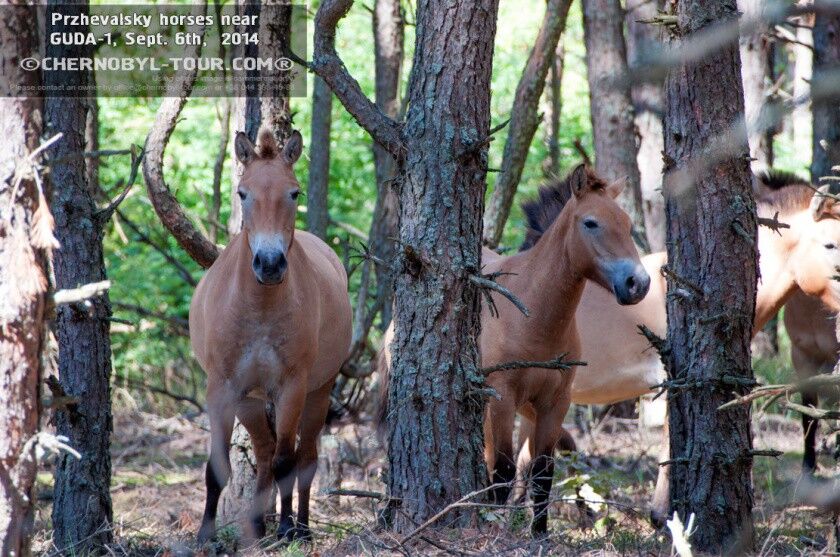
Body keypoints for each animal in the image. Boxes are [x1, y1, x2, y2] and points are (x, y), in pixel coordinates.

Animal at [190, 128, 352, 540]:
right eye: (242, 193)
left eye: (293, 192)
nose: (269, 264)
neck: (259, 307)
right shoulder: (222, 389)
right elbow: (218, 469)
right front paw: (205, 535)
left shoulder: (292, 386)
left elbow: (286, 462)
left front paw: (288, 529)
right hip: (250, 401)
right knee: (263, 454)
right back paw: (257, 526)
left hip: (317, 392)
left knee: (303, 457)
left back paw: (301, 526)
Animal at [378, 164, 652, 536]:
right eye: (591, 223)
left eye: (626, 222)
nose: (638, 284)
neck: (532, 316)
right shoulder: (502, 398)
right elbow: (505, 471)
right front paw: (497, 530)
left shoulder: (554, 403)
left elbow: (542, 473)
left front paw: (538, 533)